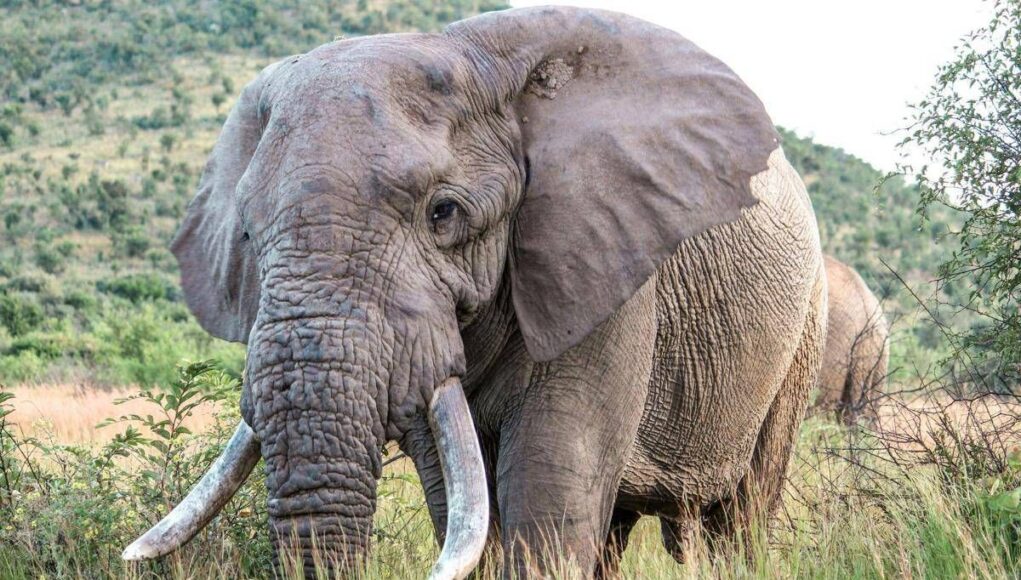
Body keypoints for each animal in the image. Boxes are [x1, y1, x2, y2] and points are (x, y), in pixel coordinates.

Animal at [121, 6, 826, 579]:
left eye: (444, 213)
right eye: (246, 232)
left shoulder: (603, 266)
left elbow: (549, 482)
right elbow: (456, 496)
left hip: (803, 333)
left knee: (744, 512)